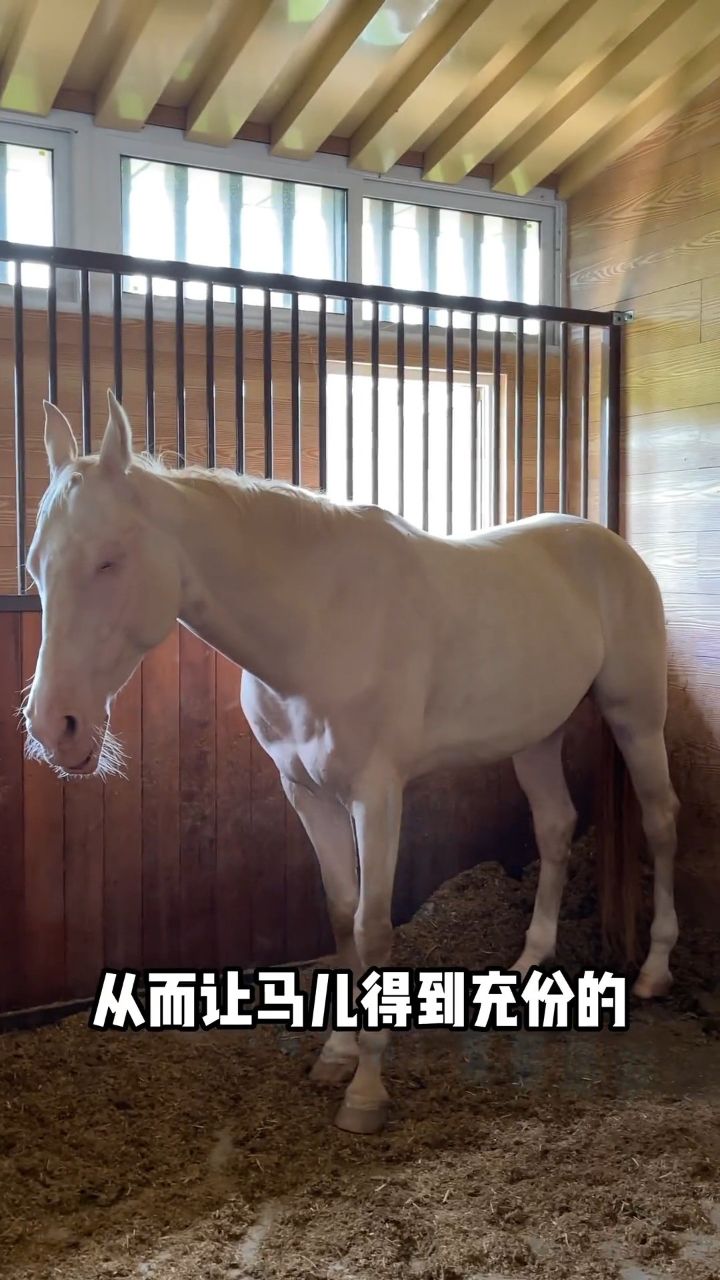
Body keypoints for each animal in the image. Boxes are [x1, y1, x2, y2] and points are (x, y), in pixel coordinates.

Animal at [23, 390, 679, 1134]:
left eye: (109, 561)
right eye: (36, 566)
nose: (56, 727)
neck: (318, 624)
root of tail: (610, 545)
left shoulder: (377, 794)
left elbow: (372, 926)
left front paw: (366, 1091)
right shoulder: (306, 793)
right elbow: (340, 918)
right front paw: (337, 1054)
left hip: (636, 717)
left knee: (659, 821)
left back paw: (655, 971)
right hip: (535, 735)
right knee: (556, 827)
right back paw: (527, 964)